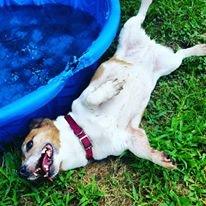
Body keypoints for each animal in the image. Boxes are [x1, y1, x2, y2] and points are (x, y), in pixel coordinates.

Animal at [19, 0, 206, 180]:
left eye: (29, 144)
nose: (22, 172)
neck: (85, 135)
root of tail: (150, 46)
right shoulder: (129, 137)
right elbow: (143, 151)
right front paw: (161, 159)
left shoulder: (84, 99)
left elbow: (93, 97)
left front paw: (112, 87)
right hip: (170, 63)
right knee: (181, 52)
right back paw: (201, 49)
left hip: (131, 29)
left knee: (141, 15)